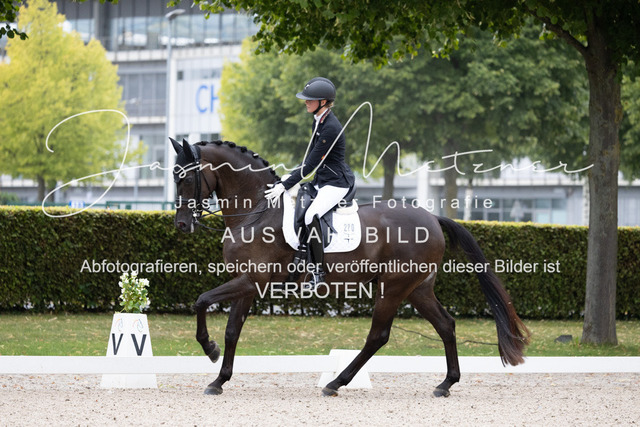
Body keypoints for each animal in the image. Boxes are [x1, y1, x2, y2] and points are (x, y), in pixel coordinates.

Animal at [171, 137, 530, 397]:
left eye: (184, 177)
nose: (182, 225)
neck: (257, 211)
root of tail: (432, 217)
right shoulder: (246, 283)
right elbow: (232, 330)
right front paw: (219, 379)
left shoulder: (251, 281)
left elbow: (201, 300)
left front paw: (210, 350)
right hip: (417, 289)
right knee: (446, 325)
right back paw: (445, 384)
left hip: (393, 288)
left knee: (378, 335)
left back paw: (335, 383)